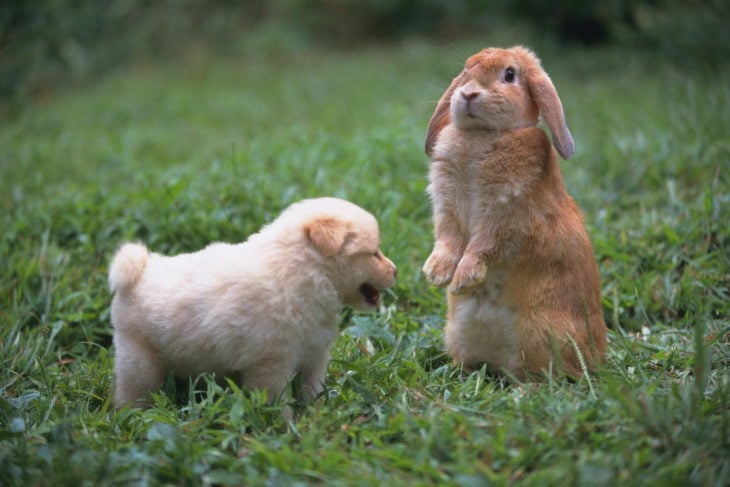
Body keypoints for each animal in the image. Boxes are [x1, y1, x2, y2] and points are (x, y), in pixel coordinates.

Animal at [108, 197, 396, 408]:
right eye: (374, 253)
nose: (395, 271)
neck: (301, 273)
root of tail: (143, 269)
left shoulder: (314, 354)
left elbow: (311, 389)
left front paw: (318, 413)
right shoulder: (270, 365)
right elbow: (277, 402)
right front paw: (284, 427)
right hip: (139, 360)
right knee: (132, 392)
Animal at [418, 45, 604, 380]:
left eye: (509, 74)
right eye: (466, 69)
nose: (468, 93)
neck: (484, 134)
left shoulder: (506, 218)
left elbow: (481, 247)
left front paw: (462, 279)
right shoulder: (448, 209)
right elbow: (448, 240)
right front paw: (436, 274)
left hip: (542, 333)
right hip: (459, 331)